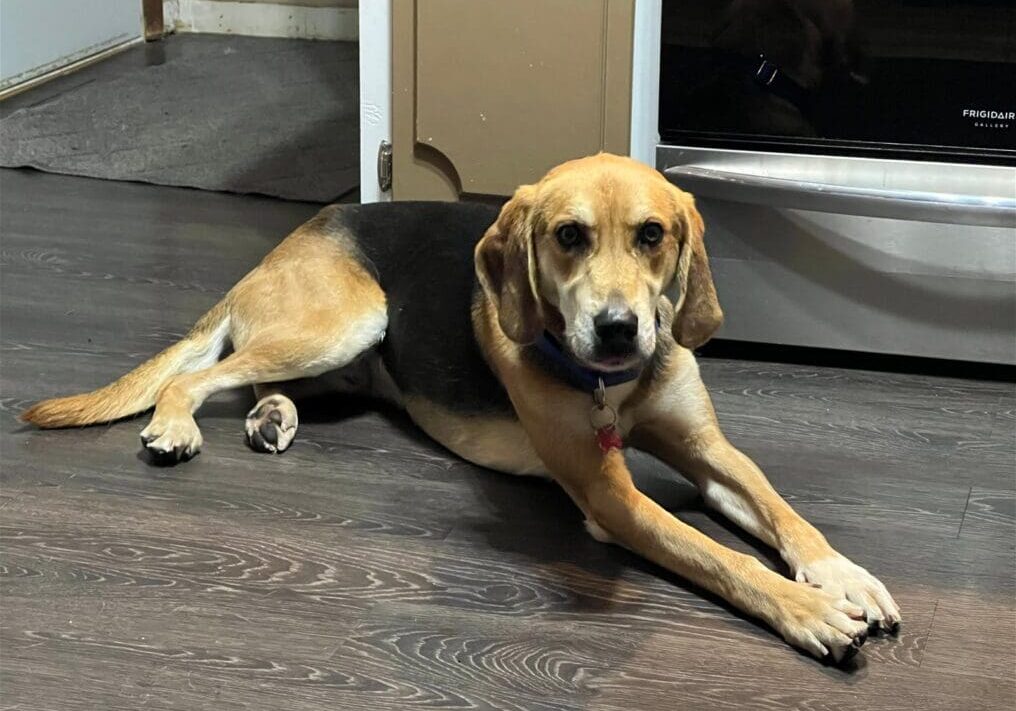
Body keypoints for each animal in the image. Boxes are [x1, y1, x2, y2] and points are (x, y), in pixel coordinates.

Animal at [21, 152, 898, 662]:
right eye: (569, 236)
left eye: (653, 234)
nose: (619, 329)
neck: (611, 385)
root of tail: (294, 236)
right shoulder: (609, 495)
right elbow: (726, 558)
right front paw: (808, 609)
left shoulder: (710, 451)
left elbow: (784, 515)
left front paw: (843, 574)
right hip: (349, 318)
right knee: (200, 377)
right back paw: (173, 424)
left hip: (351, 354)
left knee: (250, 381)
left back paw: (272, 417)